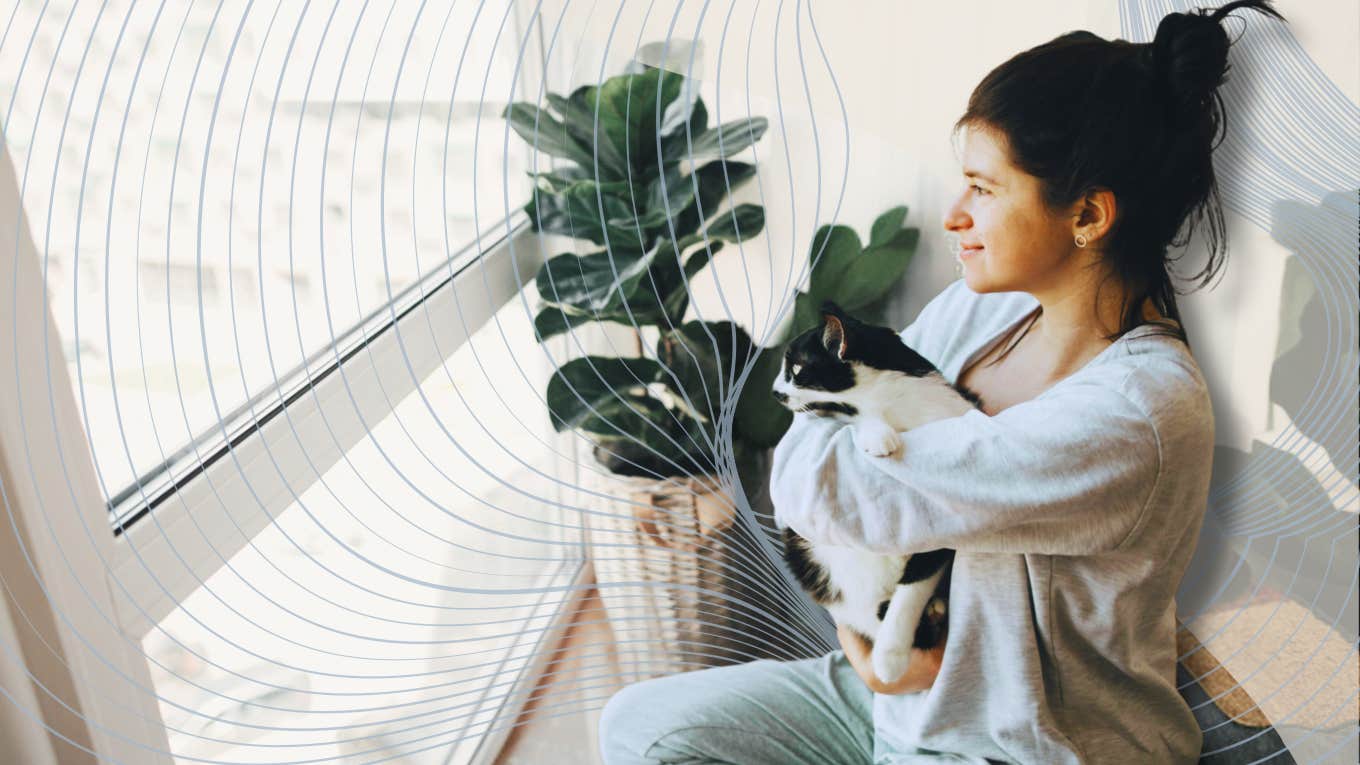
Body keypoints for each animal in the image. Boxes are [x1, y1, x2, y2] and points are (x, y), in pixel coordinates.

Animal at [772, 300, 984, 680]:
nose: (773, 391)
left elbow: (915, 584)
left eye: (795, 369)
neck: (901, 403)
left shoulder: (948, 531)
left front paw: (890, 656)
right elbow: (855, 419)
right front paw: (878, 435)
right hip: (808, 559)